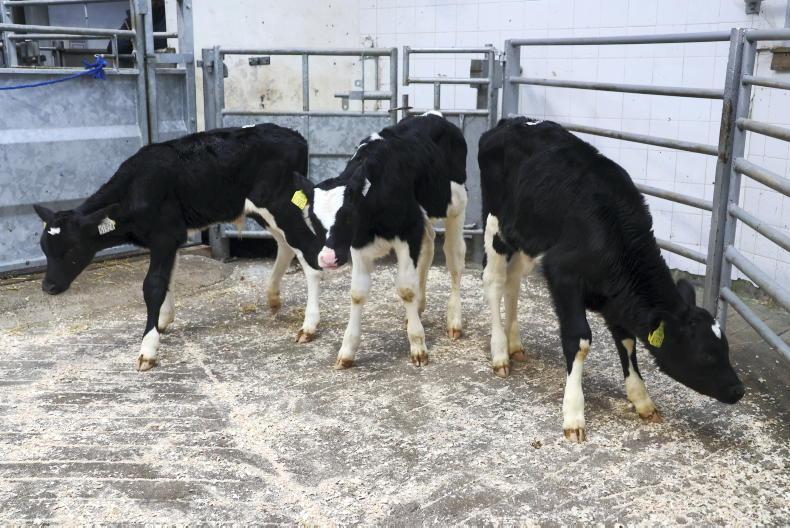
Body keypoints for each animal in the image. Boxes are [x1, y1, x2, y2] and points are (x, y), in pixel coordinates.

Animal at [33, 123, 326, 371]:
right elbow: (168, 278)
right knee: (287, 246)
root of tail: (295, 136)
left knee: (310, 251)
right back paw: (273, 296)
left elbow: (153, 285)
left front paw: (148, 348)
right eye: (44, 248)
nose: (48, 287)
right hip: (266, 211)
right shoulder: (171, 238)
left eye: (71, 249)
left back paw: (308, 327)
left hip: (279, 205)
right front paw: (163, 320)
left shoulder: (164, 235)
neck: (135, 188)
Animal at [307, 111, 468, 368]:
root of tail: (433, 114)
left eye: (347, 215)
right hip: (422, 220)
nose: (328, 258)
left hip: (455, 205)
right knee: (428, 247)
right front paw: (347, 350)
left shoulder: (407, 231)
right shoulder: (359, 243)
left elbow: (406, 289)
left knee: (454, 259)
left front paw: (418, 346)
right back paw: (419, 308)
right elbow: (357, 293)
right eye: (313, 218)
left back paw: (454, 320)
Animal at [478, 117, 744, 442]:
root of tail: (512, 121)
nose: (739, 390)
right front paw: (574, 414)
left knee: (513, 281)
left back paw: (514, 344)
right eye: (707, 355)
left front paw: (641, 398)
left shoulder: (616, 300)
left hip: (526, 239)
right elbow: (579, 339)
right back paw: (500, 352)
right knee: (494, 280)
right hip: (495, 225)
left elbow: (627, 341)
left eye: (727, 348)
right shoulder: (563, 273)